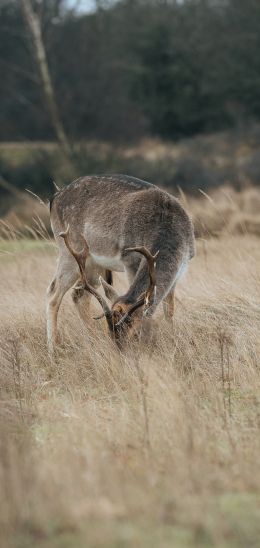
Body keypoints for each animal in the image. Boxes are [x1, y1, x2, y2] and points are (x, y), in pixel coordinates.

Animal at [46, 173, 195, 352]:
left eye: (135, 332)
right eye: (111, 333)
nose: (120, 350)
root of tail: (54, 198)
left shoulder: (181, 270)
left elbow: (169, 310)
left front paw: (172, 341)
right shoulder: (130, 259)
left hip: (92, 263)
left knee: (79, 295)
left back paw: (93, 340)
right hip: (68, 250)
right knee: (53, 292)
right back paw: (53, 348)